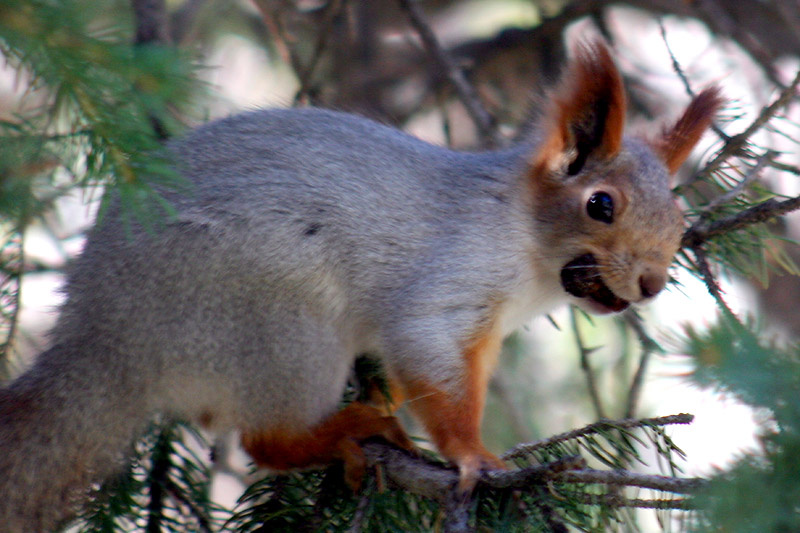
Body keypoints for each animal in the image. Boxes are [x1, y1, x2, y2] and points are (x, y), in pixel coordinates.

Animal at [0, 40, 721, 531]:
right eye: (601, 205)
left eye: (679, 220)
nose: (652, 282)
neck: (524, 245)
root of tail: (108, 342)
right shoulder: (446, 283)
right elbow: (432, 365)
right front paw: (474, 456)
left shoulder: (486, 335)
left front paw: (396, 393)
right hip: (280, 326)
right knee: (266, 441)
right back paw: (346, 429)